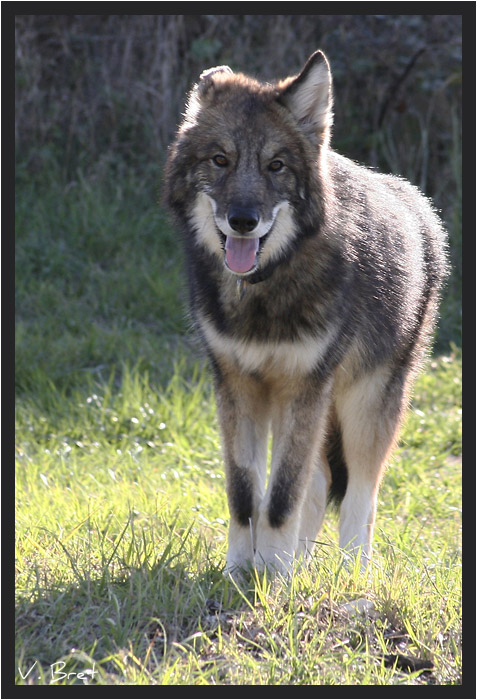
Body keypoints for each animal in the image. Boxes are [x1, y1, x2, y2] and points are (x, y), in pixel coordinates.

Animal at [164, 50, 448, 575]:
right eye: (221, 160)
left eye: (276, 165)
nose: (243, 220)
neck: (264, 290)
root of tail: (422, 210)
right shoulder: (237, 385)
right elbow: (246, 495)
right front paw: (244, 571)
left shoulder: (305, 386)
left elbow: (280, 499)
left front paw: (272, 577)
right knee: (317, 484)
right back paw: (300, 563)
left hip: (365, 405)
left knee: (361, 495)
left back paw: (351, 574)